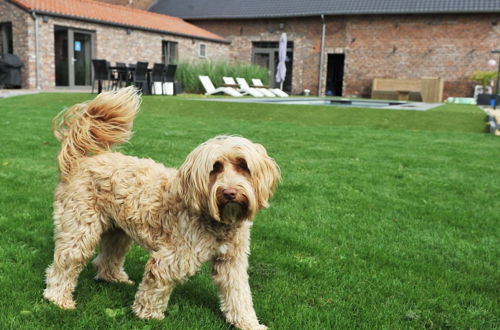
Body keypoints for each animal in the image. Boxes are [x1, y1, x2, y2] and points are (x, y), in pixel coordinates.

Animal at [43, 86, 280, 328]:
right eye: (215, 167)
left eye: (243, 166)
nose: (230, 192)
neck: (214, 218)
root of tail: (79, 162)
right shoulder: (171, 258)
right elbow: (155, 288)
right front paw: (148, 316)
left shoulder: (231, 262)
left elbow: (239, 295)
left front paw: (249, 323)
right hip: (80, 229)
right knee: (65, 263)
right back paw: (59, 299)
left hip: (118, 232)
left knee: (107, 256)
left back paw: (114, 278)